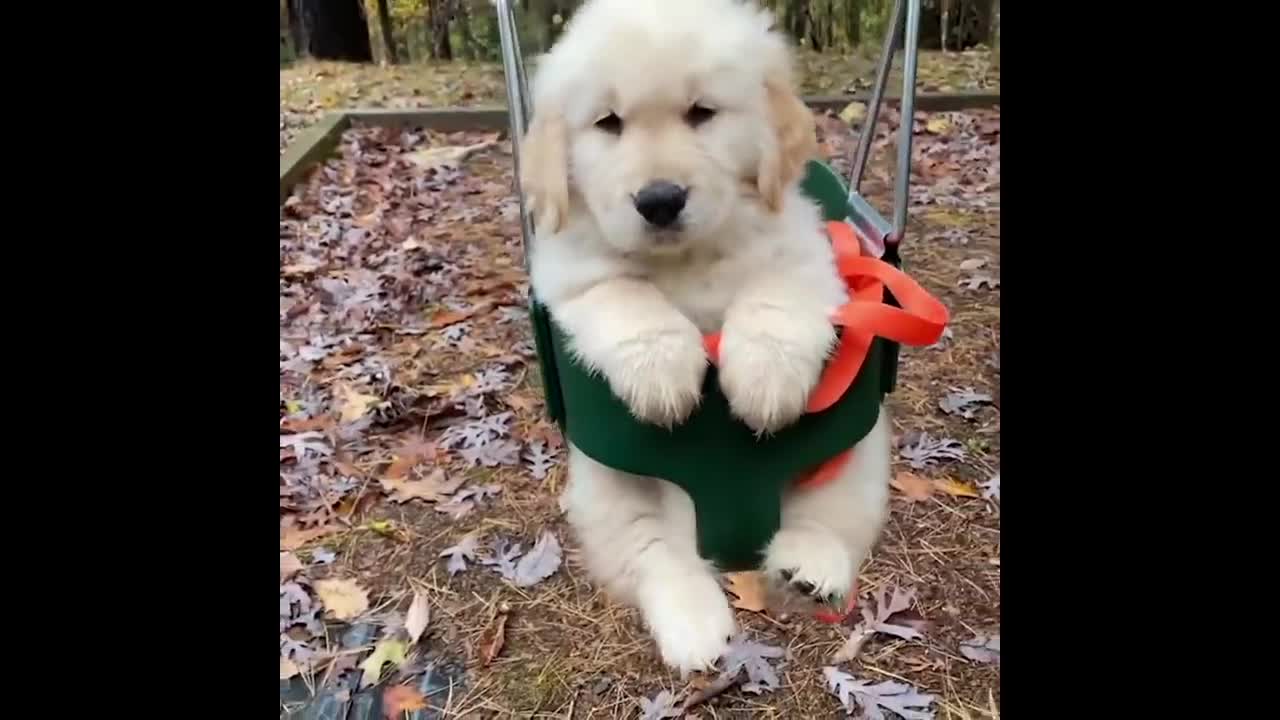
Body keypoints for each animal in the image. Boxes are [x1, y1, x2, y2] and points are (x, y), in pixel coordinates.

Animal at [519, 0, 890, 671]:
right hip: (610, 490)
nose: (659, 200)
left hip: (859, 456)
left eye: (701, 113)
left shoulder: (804, 257)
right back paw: (694, 625)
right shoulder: (572, 280)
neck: (687, 260)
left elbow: (773, 300)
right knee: (657, 554)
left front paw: (766, 382)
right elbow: (626, 295)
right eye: (608, 123)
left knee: (831, 520)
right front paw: (664, 373)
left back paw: (807, 567)